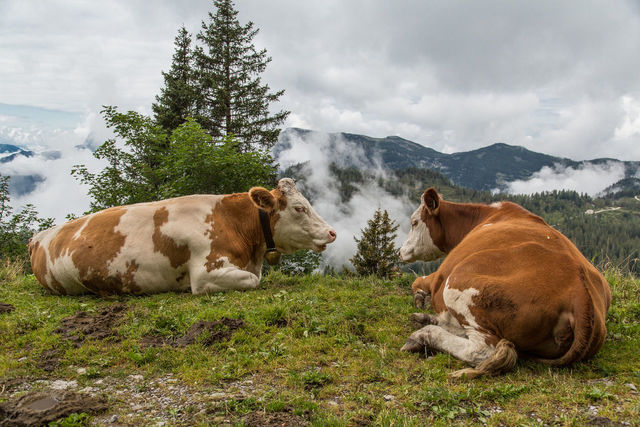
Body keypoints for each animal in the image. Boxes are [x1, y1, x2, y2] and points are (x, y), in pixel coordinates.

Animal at [398, 189, 612, 380]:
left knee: (481, 349)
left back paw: (422, 335)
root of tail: (580, 292)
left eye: (414, 222)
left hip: (458, 286)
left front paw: (420, 298)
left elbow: (419, 281)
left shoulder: (441, 274)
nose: (400, 251)